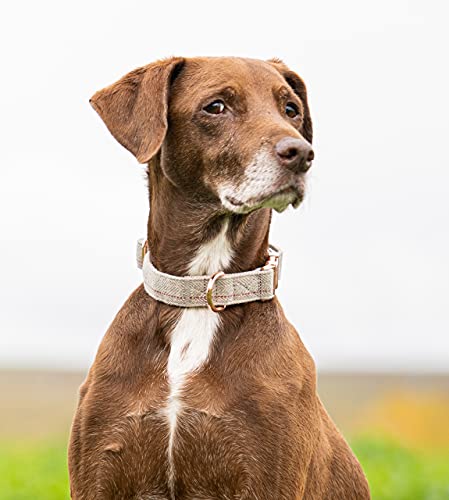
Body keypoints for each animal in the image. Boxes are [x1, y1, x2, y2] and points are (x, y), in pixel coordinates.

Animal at [68, 56, 370, 498]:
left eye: (291, 109)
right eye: (216, 106)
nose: (301, 153)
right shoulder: (99, 469)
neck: (200, 292)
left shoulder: (267, 475)